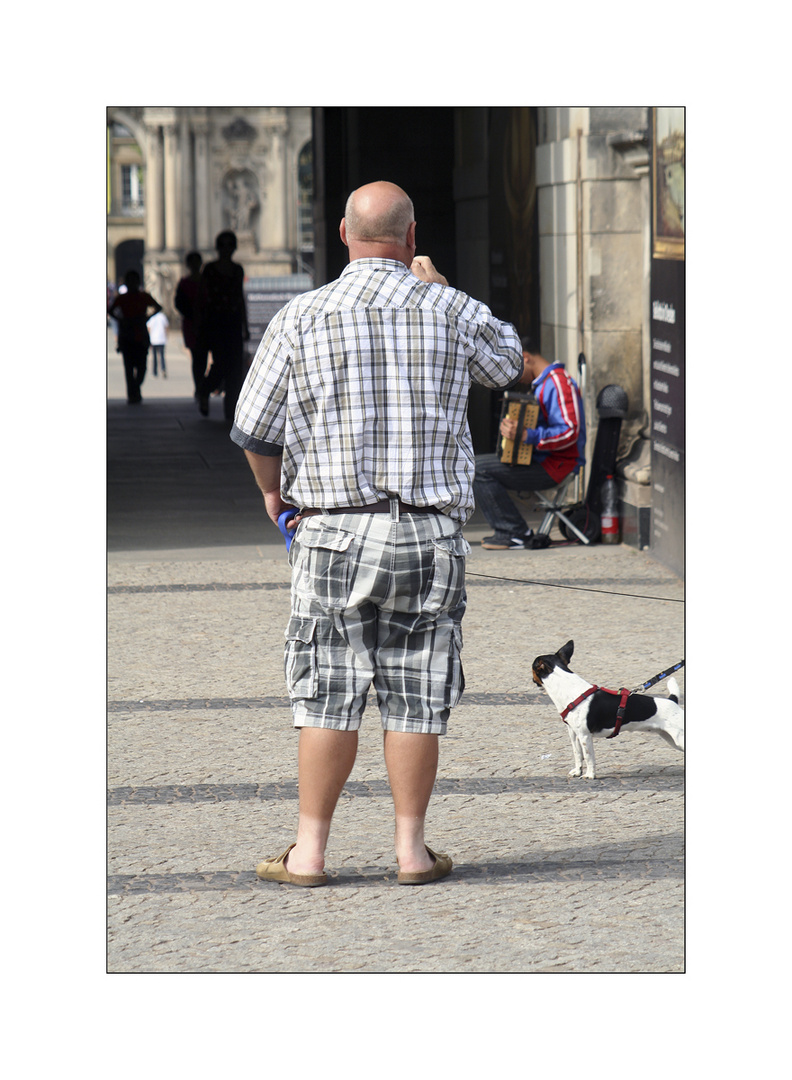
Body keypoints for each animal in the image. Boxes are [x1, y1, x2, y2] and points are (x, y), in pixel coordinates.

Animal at [531, 635, 687, 781]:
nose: (531, 679)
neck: (567, 688)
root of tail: (672, 700)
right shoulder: (573, 733)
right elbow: (578, 755)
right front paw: (577, 772)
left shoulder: (584, 735)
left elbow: (589, 758)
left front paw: (590, 775)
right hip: (669, 738)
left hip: (678, 738)